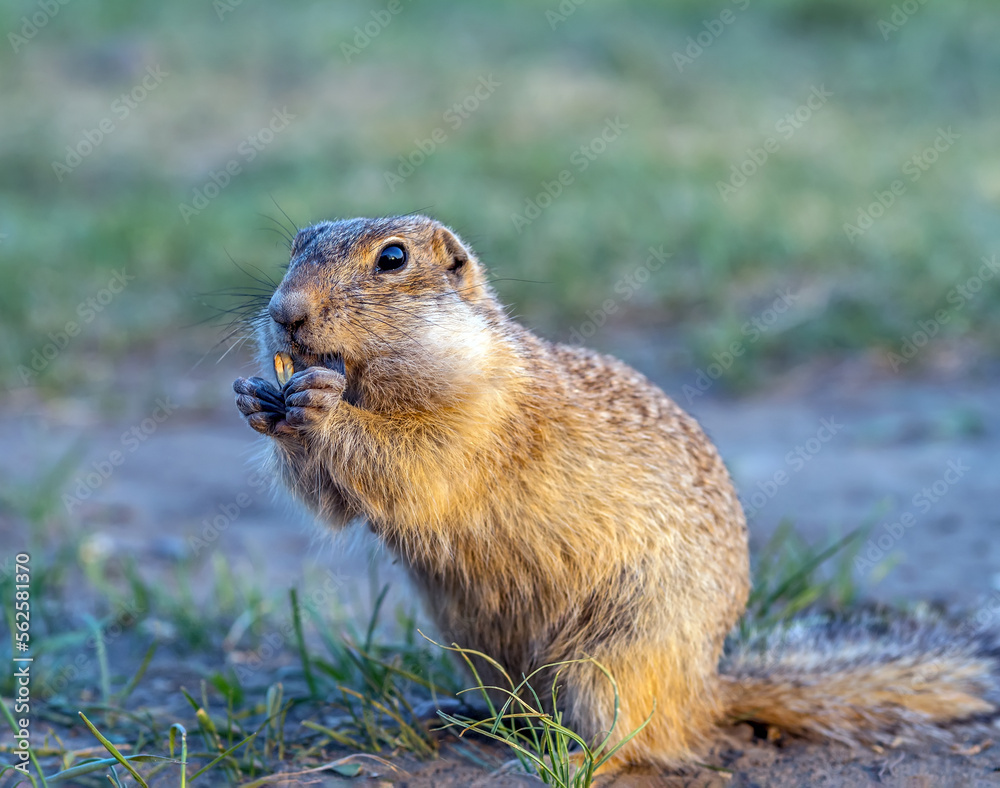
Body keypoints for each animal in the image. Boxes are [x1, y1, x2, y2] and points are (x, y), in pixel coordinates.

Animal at [232, 215, 1000, 768]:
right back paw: (460, 716)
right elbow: (335, 500)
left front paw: (322, 406)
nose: (284, 312)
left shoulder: (479, 419)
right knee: (525, 711)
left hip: (608, 661)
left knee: (640, 745)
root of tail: (706, 691)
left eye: (392, 259)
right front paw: (256, 398)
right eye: (296, 244)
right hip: (478, 647)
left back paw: (577, 760)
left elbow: (414, 461)